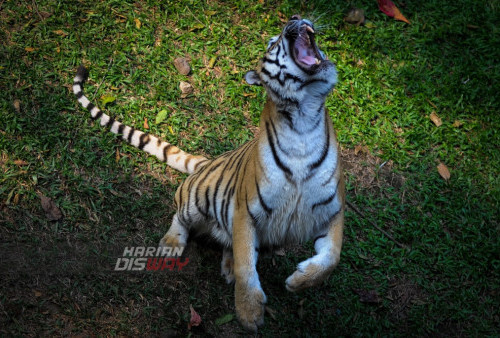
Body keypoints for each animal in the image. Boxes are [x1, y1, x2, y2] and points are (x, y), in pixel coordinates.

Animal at [73, 14, 344, 332]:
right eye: (272, 43)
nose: (294, 17)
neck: (303, 118)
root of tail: (206, 162)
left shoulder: (331, 210)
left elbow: (332, 257)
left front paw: (298, 281)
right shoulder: (247, 210)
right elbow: (246, 267)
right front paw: (248, 313)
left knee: (233, 244)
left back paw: (227, 266)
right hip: (195, 202)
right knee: (181, 217)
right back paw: (172, 244)